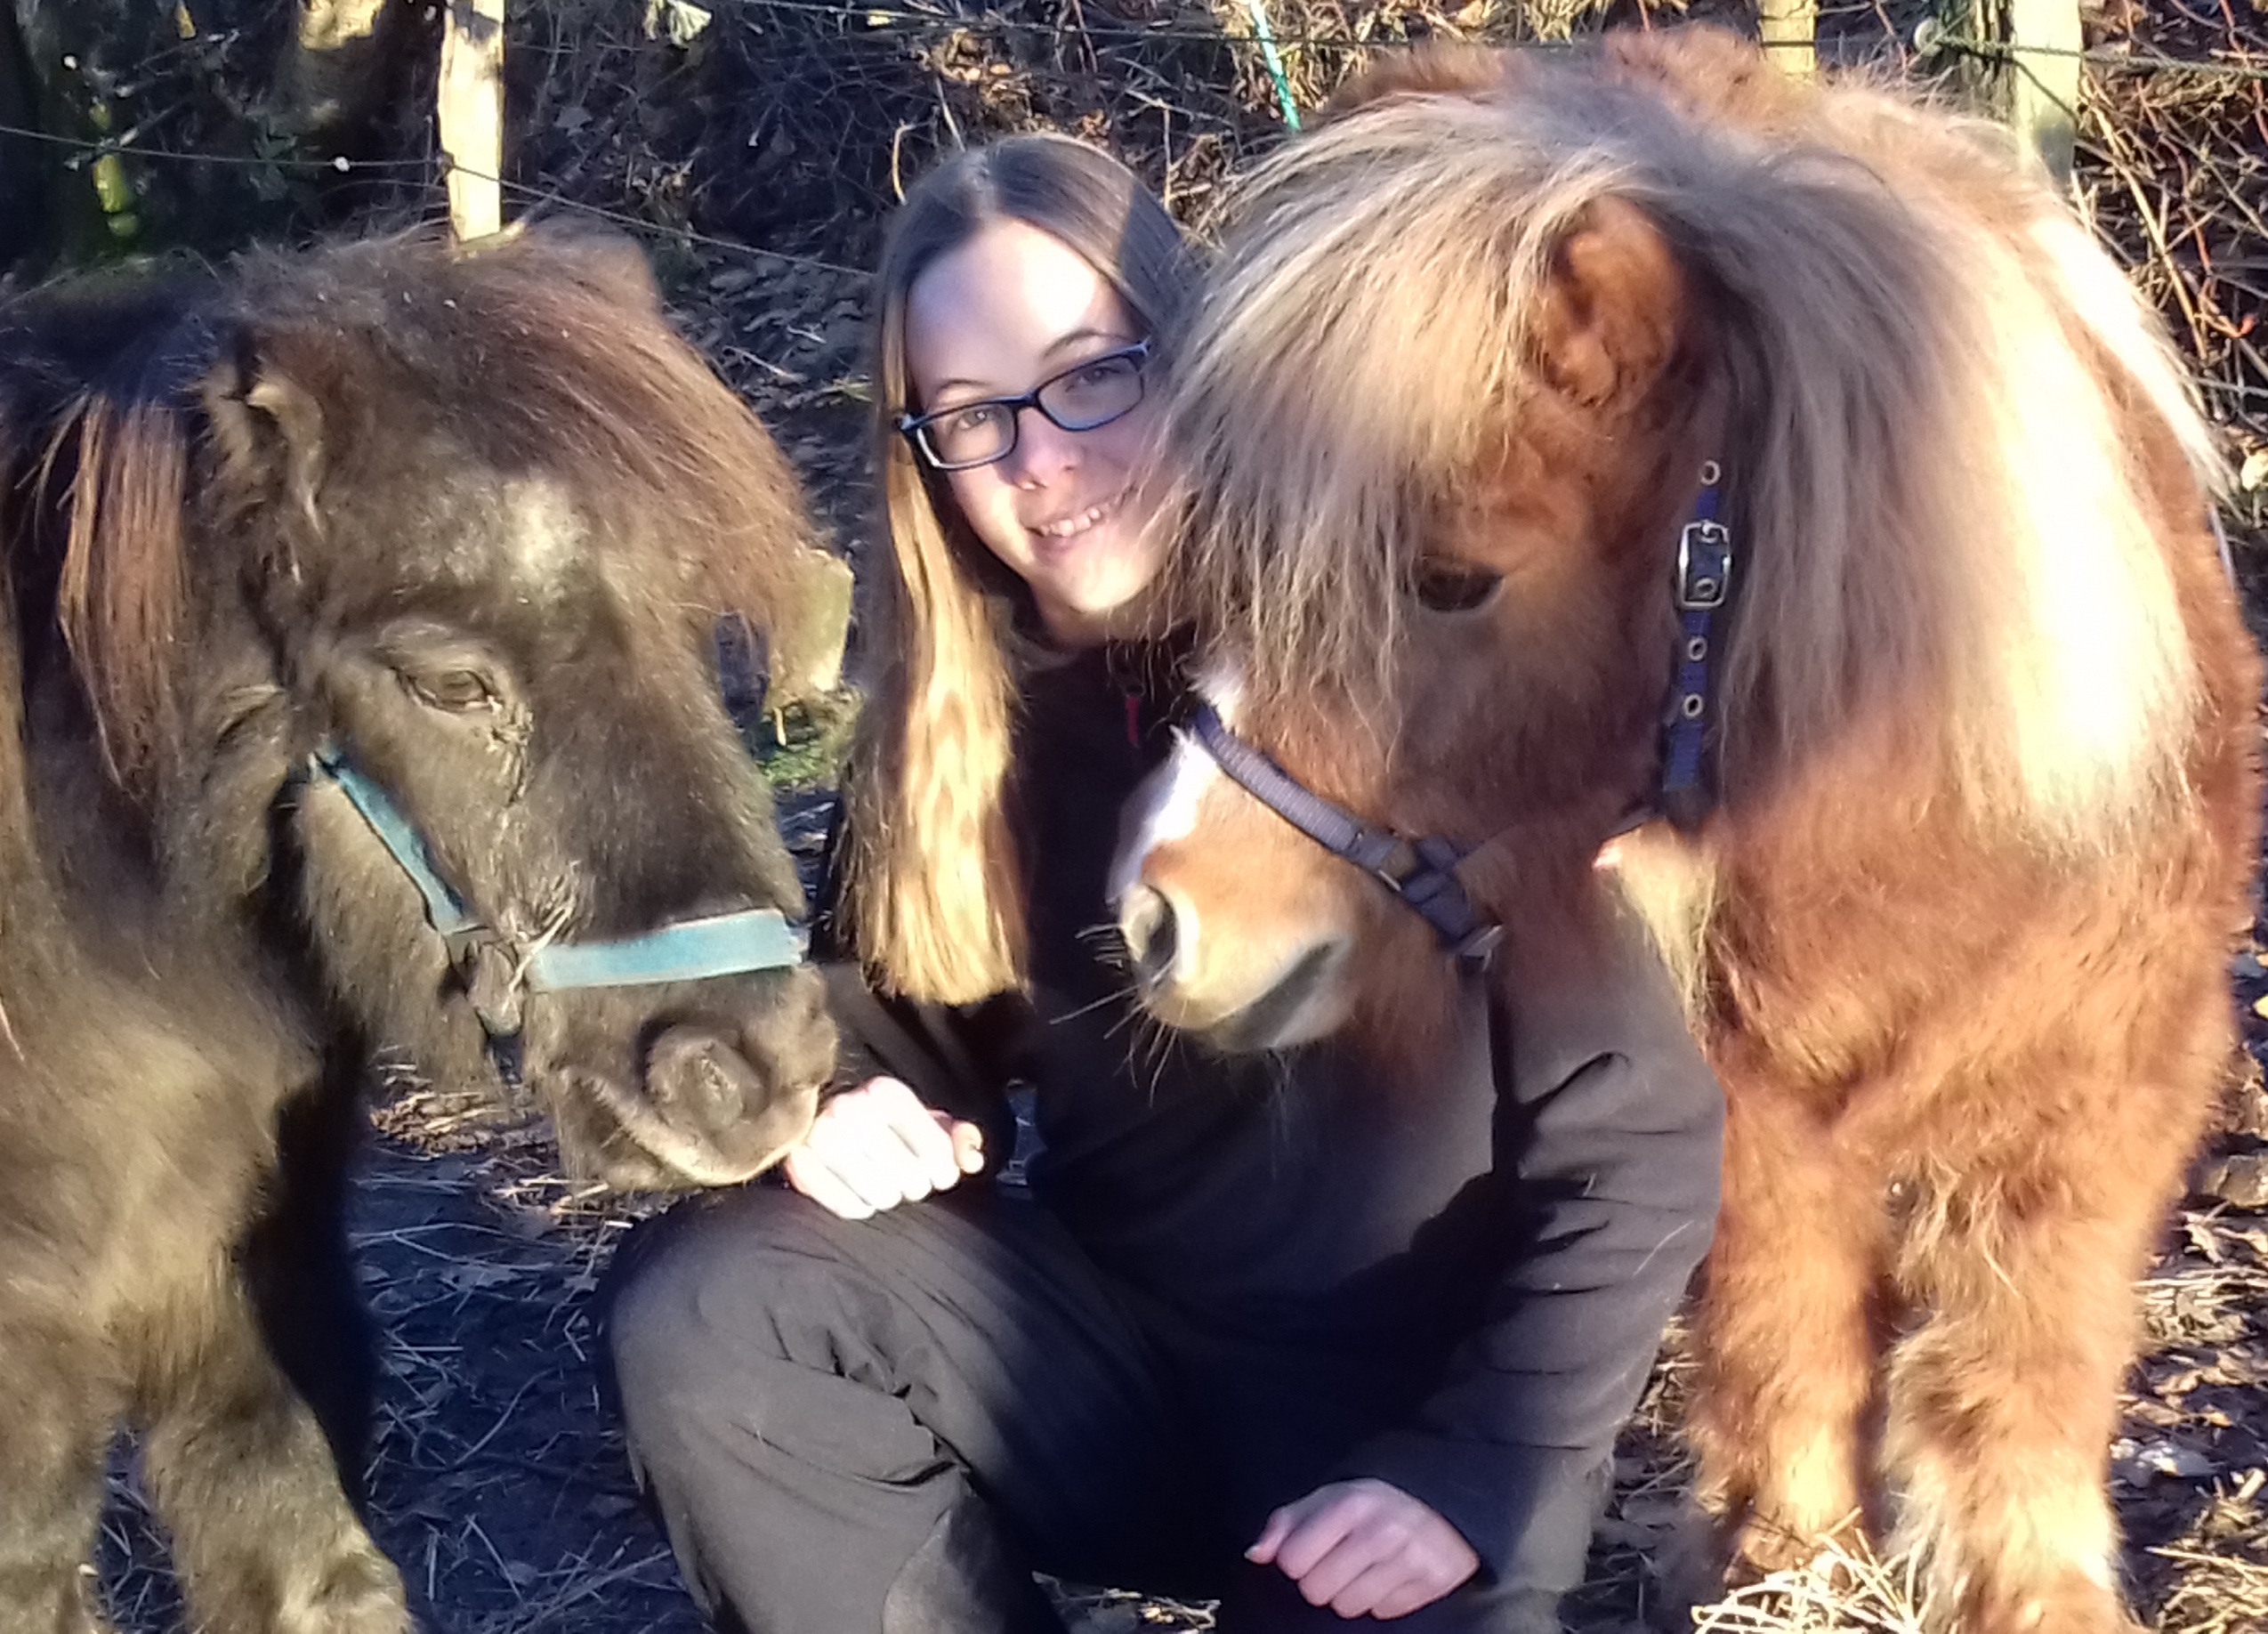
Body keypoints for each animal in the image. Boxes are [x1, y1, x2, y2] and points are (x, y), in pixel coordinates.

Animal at [1120, 28, 2268, 1634]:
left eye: (1453, 579)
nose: (1158, 912)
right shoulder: (1753, 1127)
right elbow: (1786, 1338)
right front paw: (1781, 1566)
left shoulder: (2100, 1109)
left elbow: (2022, 1367)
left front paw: (2031, 1591)